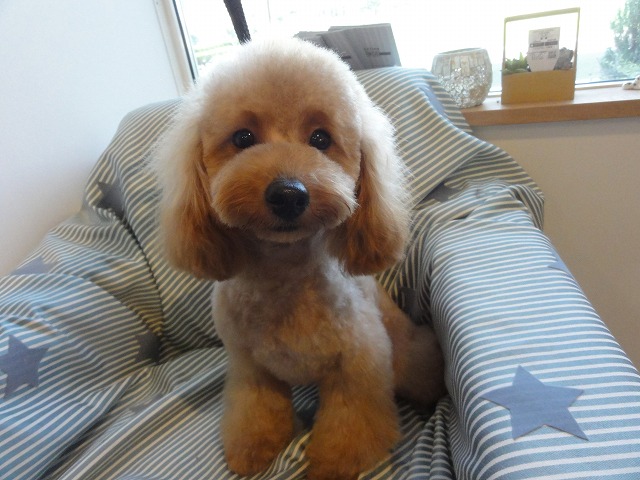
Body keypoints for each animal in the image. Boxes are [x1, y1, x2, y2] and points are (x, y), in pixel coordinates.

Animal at [153, 37, 445, 480]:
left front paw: (333, 464)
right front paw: (253, 449)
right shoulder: (250, 367)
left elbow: (350, 423)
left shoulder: (359, 364)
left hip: (408, 354)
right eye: (243, 137)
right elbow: (256, 411)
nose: (288, 194)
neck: (285, 278)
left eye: (321, 139)